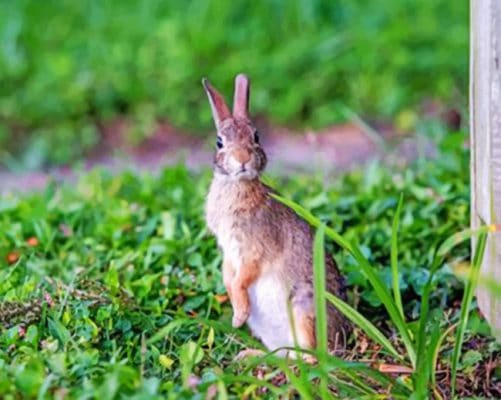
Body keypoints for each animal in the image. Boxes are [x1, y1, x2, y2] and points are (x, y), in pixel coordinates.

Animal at [200, 72, 348, 360]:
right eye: (219, 142)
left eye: (256, 136)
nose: (242, 159)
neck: (237, 186)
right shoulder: (229, 251)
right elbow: (228, 274)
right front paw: (236, 313)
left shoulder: (256, 248)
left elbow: (244, 276)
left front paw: (238, 315)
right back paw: (251, 356)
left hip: (303, 306)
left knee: (310, 356)